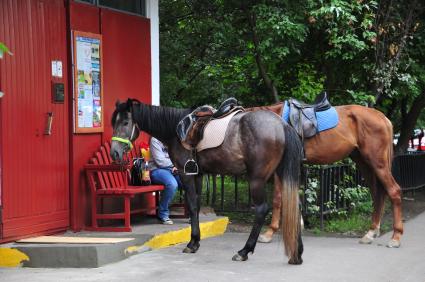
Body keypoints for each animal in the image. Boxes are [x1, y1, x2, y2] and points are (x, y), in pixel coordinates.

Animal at [107, 99, 304, 264]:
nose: (114, 153)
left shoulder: (186, 174)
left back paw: (244, 251)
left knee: (262, 209)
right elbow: (197, 205)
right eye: (113, 122)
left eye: (125, 122)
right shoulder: (198, 174)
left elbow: (193, 206)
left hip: (256, 179)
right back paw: (297, 253)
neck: (176, 131)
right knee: (294, 204)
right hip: (280, 174)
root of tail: (282, 124)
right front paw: (196, 241)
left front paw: (192, 243)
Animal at [250, 102, 402, 248]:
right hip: (364, 164)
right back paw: (371, 233)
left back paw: (396, 237)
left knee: (394, 191)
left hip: (378, 164)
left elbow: (277, 199)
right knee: (377, 195)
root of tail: (382, 117)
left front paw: (269, 233)